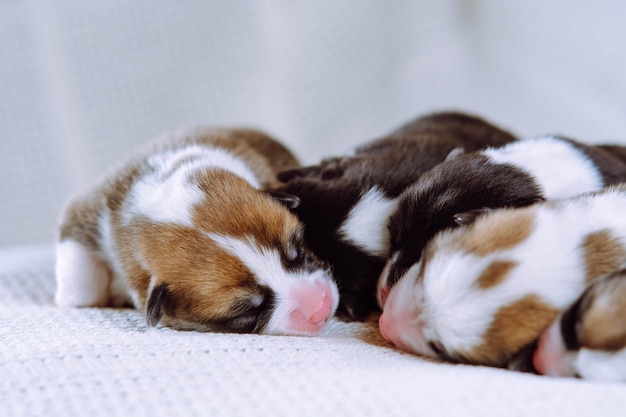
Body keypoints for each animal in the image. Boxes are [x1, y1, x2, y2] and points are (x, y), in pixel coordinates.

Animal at [56, 128, 338, 336]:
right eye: (247, 310)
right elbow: (80, 287)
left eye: (297, 248)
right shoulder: (88, 212)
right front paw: (68, 299)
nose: (321, 306)